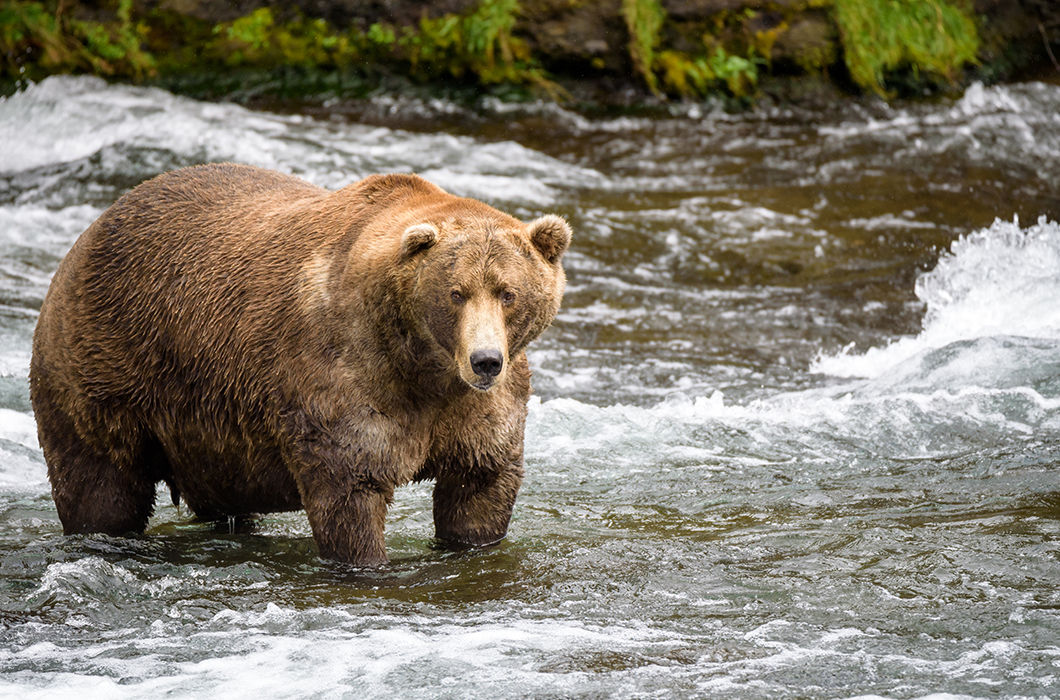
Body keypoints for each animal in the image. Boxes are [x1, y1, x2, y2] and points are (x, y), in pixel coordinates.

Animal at [29, 162, 568, 564]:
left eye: (508, 292)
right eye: (456, 293)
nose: (485, 361)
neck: (423, 367)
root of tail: (89, 233)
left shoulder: (478, 411)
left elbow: (480, 487)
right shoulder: (345, 376)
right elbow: (349, 491)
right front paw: (366, 561)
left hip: (205, 430)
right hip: (105, 367)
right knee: (101, 484)